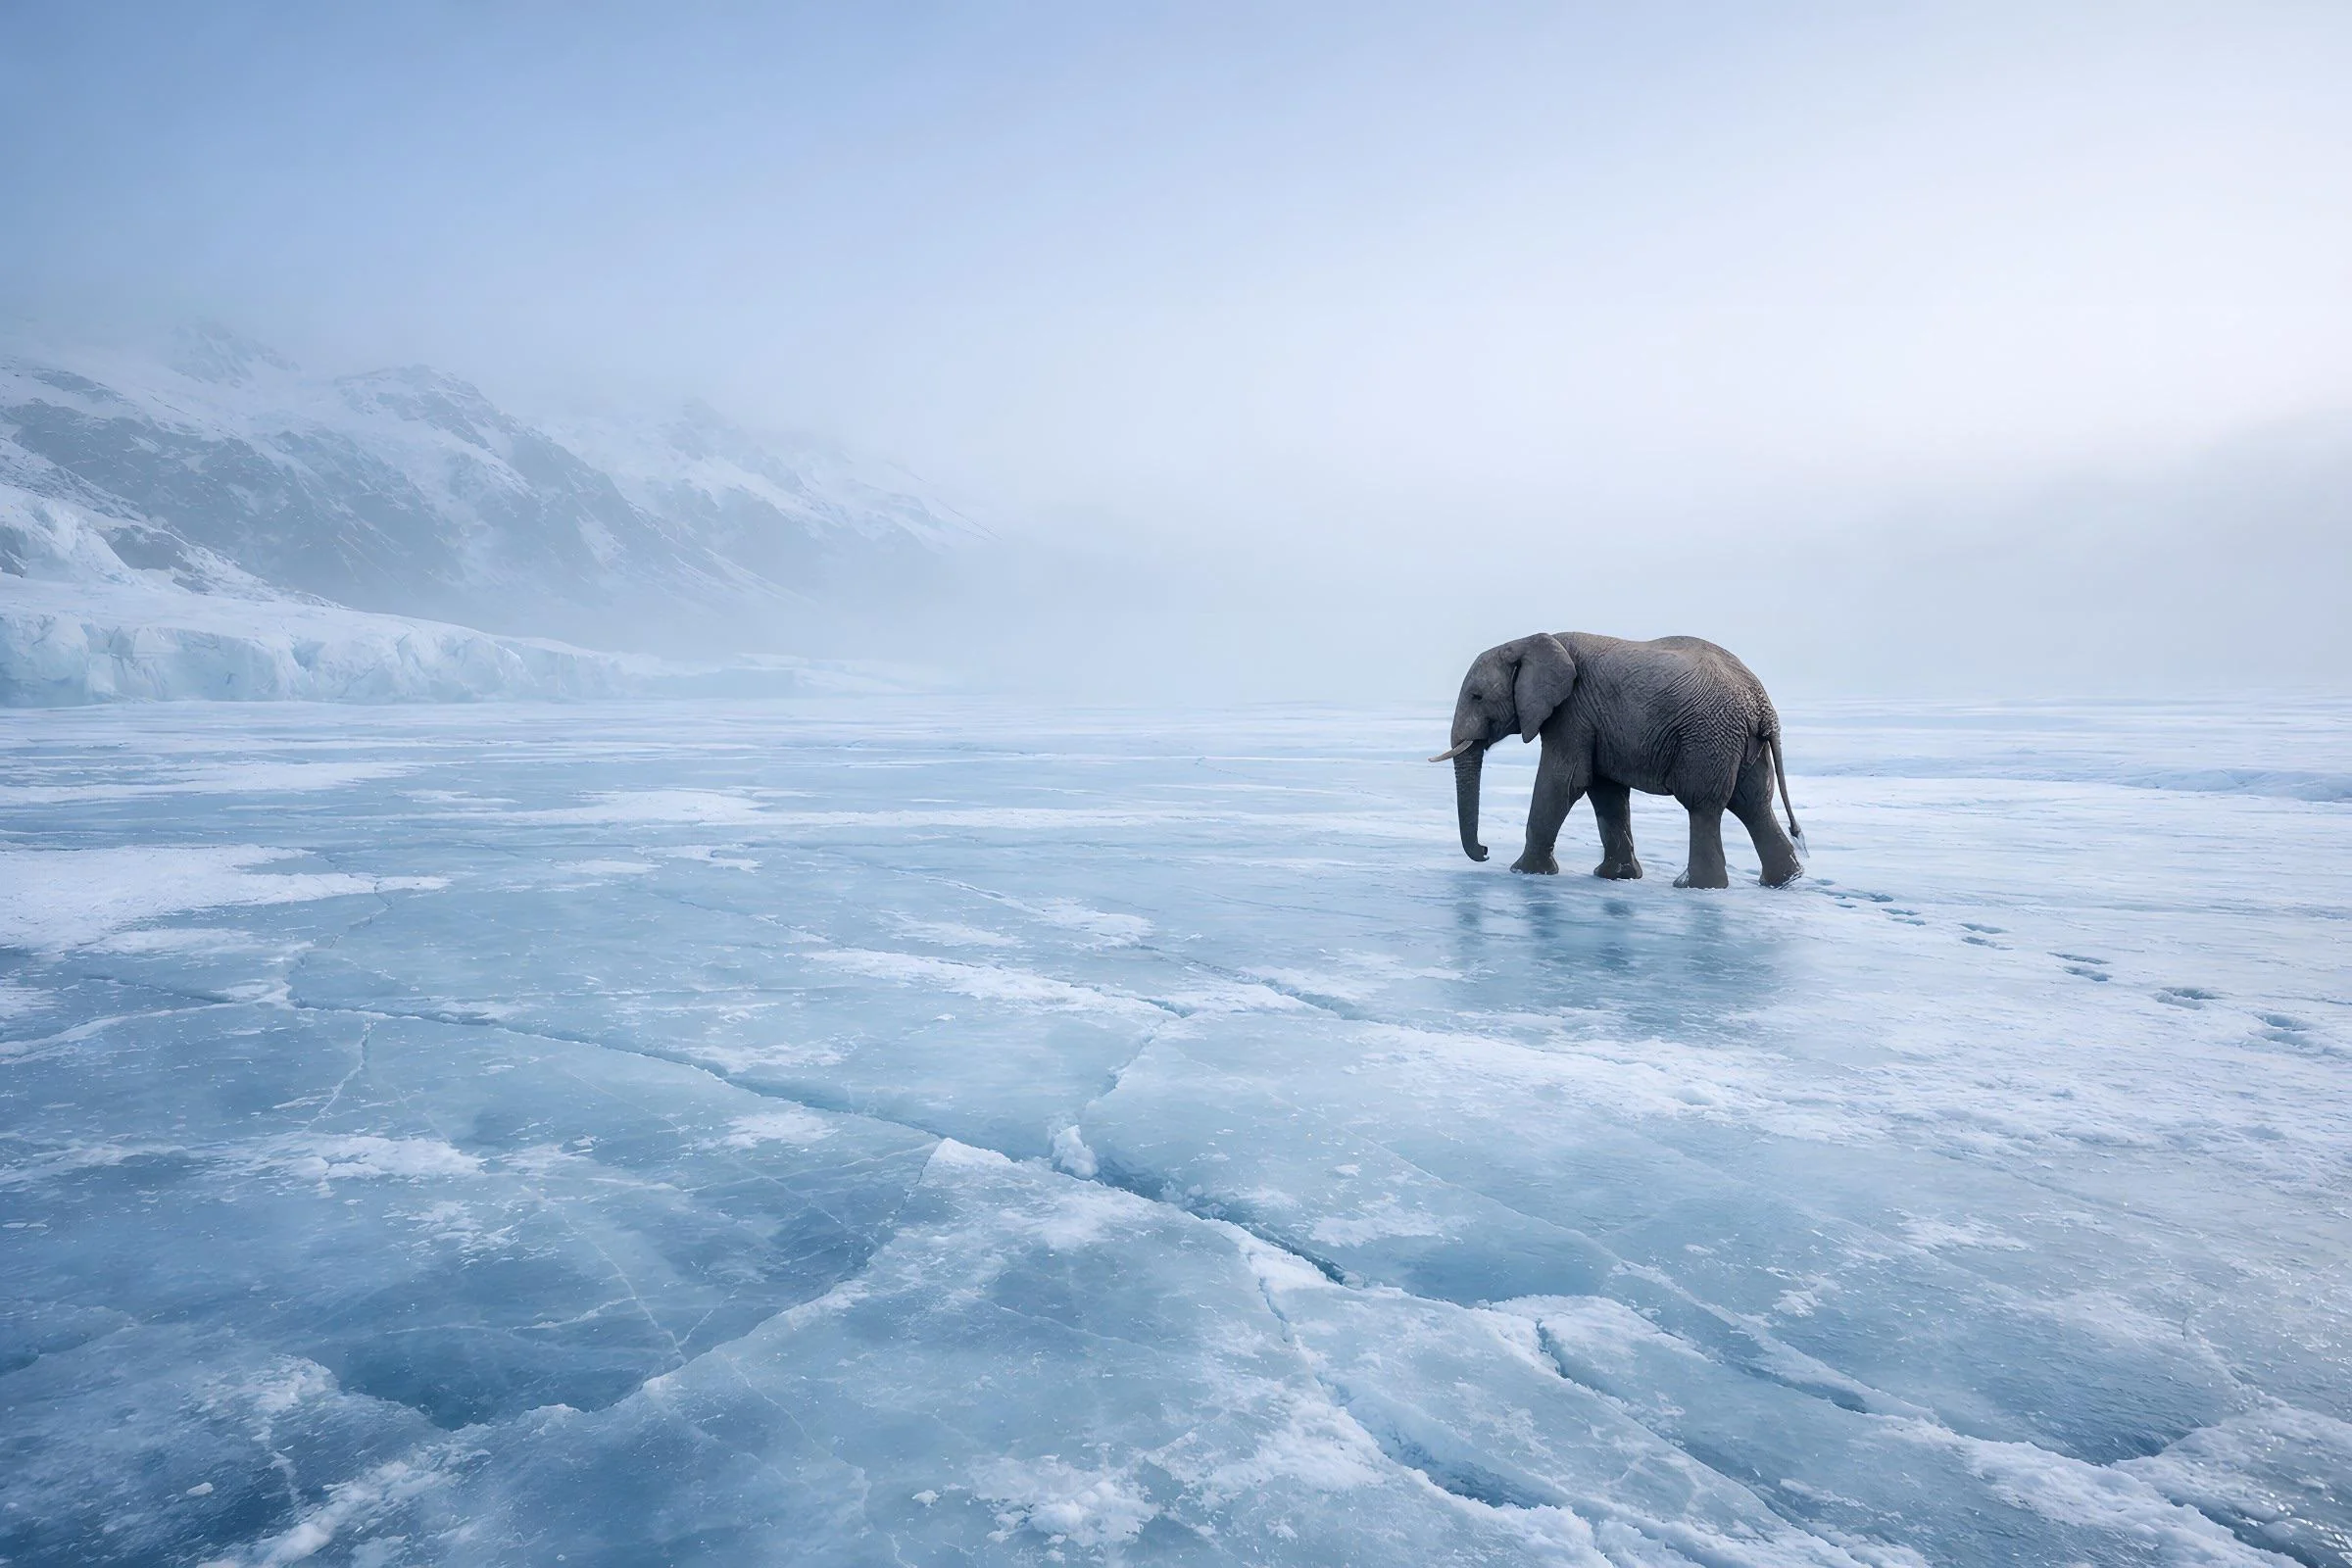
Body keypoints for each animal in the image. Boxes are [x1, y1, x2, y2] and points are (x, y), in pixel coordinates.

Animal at [1431, 632, 1805, 889]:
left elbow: (1564, 781)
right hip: (1743, 743)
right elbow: (1605, 791)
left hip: (1708, 736)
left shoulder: (1572, 712)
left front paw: (1522, 872)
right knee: (1753, 804)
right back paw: (1785, 881)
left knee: (1703, 805)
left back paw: (1695, 887)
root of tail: (1762, 705)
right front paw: (1615, 877)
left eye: (1477, 696)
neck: (1528, 641)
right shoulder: (1594, 721)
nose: (1485, 850)